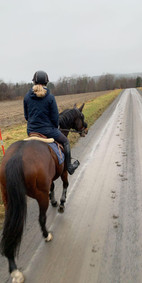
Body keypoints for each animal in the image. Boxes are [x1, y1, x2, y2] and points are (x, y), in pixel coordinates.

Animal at [0, 103, 87, 283]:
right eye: (81, 116)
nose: (86, 129)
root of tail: (17, 157)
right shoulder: (63, 172)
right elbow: (65, 185)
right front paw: (61, 204)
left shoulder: (50, 179)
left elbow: (52, 187)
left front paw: (54, 201)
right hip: (39, 196)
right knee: (41, 218)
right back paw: (47, 235)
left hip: (8, 199)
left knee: (9, 230)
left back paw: (14, 268)